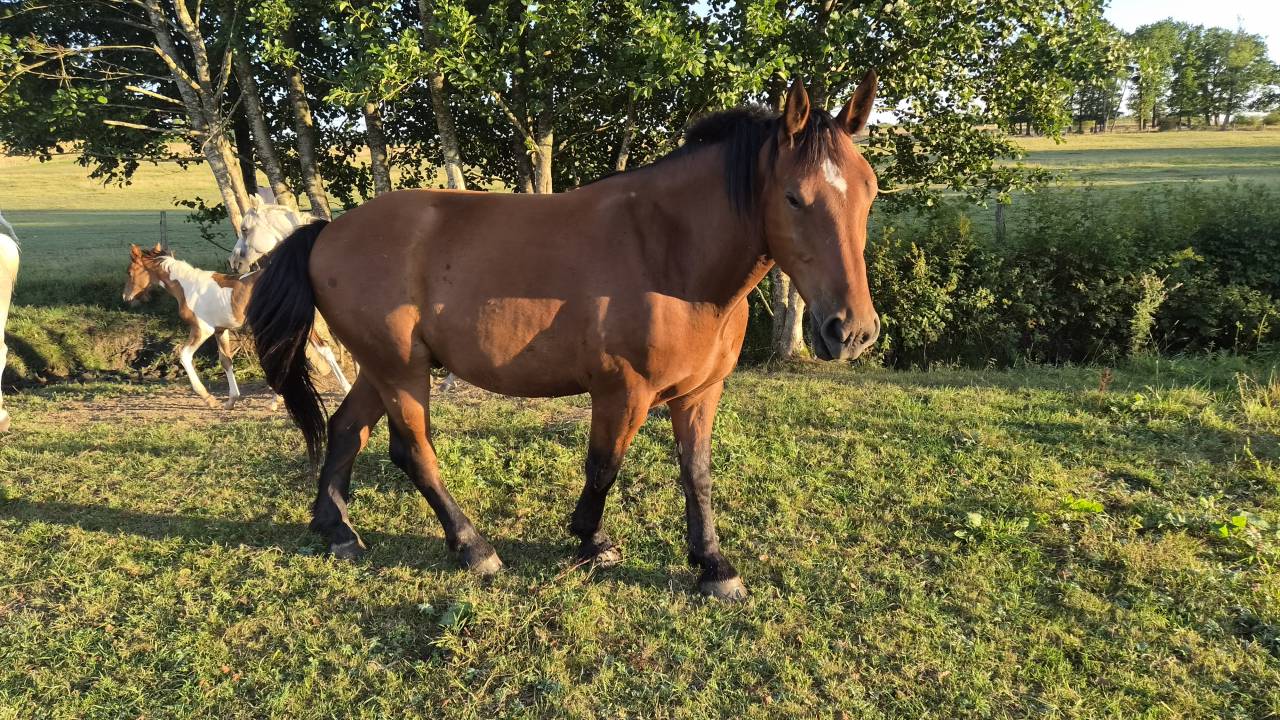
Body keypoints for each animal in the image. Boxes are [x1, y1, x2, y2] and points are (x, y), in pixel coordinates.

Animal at [123, 244, 353, 409]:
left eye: (130, 272)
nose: (126, 297)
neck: (188, 287)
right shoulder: (220, 330)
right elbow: (226, 361)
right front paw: (231, 400)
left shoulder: (202, 329)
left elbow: (184, 355)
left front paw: (208, 398)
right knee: (323, 350)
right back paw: (344, 388)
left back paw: (276, 401)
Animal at [248, 73, 881, 600]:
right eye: (794, 197)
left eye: (870, 190)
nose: (851, 331)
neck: (667, 254)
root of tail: (329, 231)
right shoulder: (622, 393)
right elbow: (603, 467)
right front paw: (591, 541)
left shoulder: (700, 394)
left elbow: (696, 474)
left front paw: (713, 566)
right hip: (400, 370)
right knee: (412, 452)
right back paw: (473, 547)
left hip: (381, 368)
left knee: (345, 430)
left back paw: (336, 530)